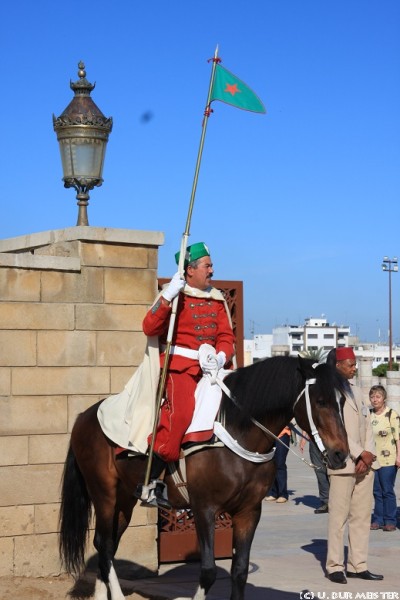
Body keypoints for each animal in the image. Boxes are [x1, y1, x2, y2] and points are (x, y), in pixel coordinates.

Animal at [60, 356, 350, 600]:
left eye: (343, 402)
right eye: (321, 401)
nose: (340, 454)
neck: (238, 434)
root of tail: (84, 416)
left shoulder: (248, 512)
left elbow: (240, 570)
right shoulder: (204, 509)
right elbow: (209, 571)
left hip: (124, 501)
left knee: (105, 546)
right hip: (104, 494)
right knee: (104, 544)